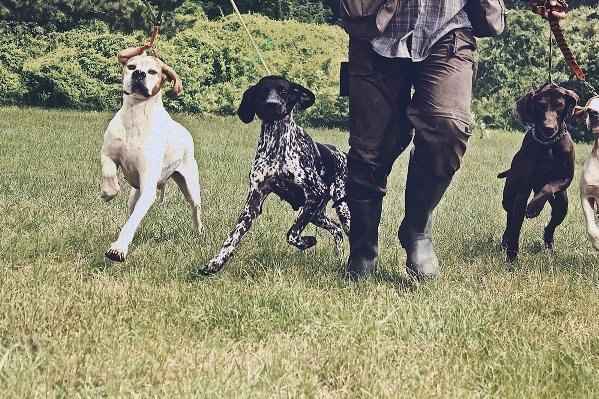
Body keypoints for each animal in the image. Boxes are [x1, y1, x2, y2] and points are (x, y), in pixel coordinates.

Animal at [101, 47, 204, 262]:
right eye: (131, 66)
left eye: (153, 72)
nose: (139, 74)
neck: (135, 117)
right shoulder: (108, 154)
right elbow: (109, 173)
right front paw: (108, 192)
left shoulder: (148, 187)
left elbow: (132, 222)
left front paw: (118, 249)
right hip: (135, 194)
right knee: (132, 212)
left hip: (190, 187)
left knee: (195, 208)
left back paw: (199, 230)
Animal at [202, 75, 352, 276]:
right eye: (262, 91)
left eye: (283, 90)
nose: (272, 104)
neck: (277, 143)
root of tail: (344, 154)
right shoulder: (254, 202)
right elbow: (232, 237)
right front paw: (216, 262)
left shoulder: (315, 192)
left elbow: (292, 234)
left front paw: (307, 241)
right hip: (317, 214)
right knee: (336, 229)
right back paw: (339, 257)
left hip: (341, 209)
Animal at [500, 83, 580, 264]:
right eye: (540, 105)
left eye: (559, 105)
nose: (548, 129)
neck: (548, 144)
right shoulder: (523, 192)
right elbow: (516, 226)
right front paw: (511, 256)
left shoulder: (566, 178)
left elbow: (549, 187)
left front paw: (535, 206)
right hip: (509, 197)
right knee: (510, 218)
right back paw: (505, 240)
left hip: (562, 205)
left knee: (550, 225)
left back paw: (549, 244)